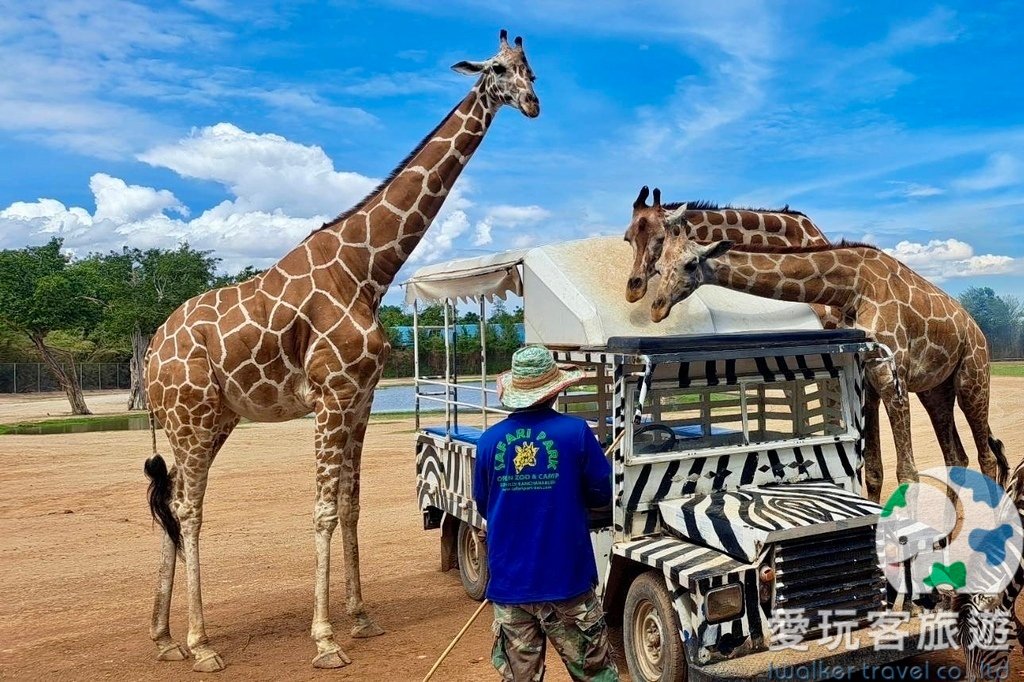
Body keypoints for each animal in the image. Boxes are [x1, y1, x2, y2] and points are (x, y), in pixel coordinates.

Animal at [145, 31, 544, 667]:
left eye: (531, 69)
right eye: (498, 70)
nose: (532, 104)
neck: (366, 270)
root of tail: (152, 350)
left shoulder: (360, 400)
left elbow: (352, 506)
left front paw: (360, 618)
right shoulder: (331, 397)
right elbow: (324, 510)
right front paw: (325, 638)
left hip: (212, 419)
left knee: (172, 504)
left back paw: (163, 638)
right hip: (192, 417)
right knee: (189, 509)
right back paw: (200, 643)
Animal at [647, 231, 1007, 501]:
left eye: (691, 263)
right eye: (658, 266)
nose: (656, 308)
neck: (852, 288)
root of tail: (974, 326)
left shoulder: (892, 377)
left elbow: (907, 473)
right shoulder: (869, 384)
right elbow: (873, 472)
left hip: (972, 375)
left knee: (987, 456)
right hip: (935, 389)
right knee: (956, 457)